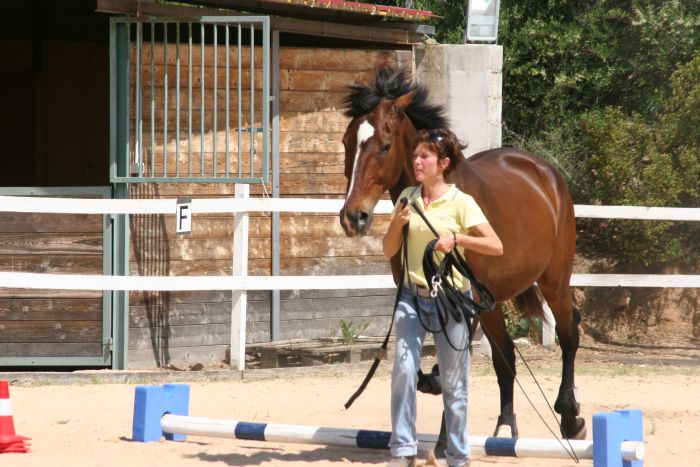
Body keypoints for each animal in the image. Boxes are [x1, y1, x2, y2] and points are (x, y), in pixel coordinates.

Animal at [340, 68, 584, 442]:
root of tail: (546, 173)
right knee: (506, 358)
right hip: (492, 301)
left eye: (384, 146)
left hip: (553, 281)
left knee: (569, 334)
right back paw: (504, 426)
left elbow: (455, 365)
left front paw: (445, 440)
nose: (354, 218)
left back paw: (570, 416)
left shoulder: (462, 303)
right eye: (346, 143)